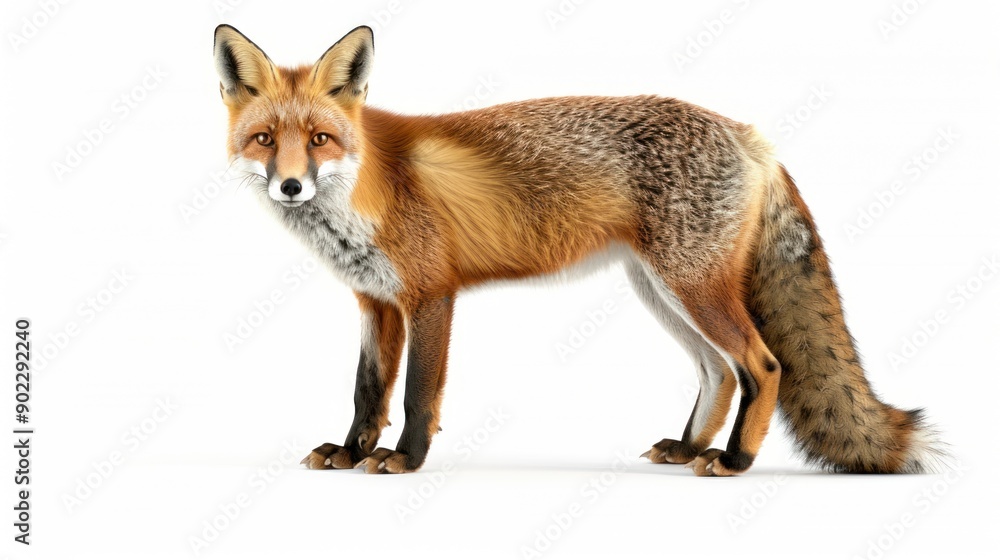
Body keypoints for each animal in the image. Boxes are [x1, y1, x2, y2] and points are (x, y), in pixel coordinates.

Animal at [213, 24, 944, 476]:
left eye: (319, 139)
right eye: (264, 140)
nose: (290, 186)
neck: (363, 192)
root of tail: (747, 132)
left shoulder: (431, 295)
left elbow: (419, 392)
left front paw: (405, 460)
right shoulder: (376, 301)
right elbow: (368, 392)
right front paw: (349, 452)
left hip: (692, 285)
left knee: (762, 366)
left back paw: (735, 460)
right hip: (662, 289)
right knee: (717, 371)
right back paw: (687, 447)